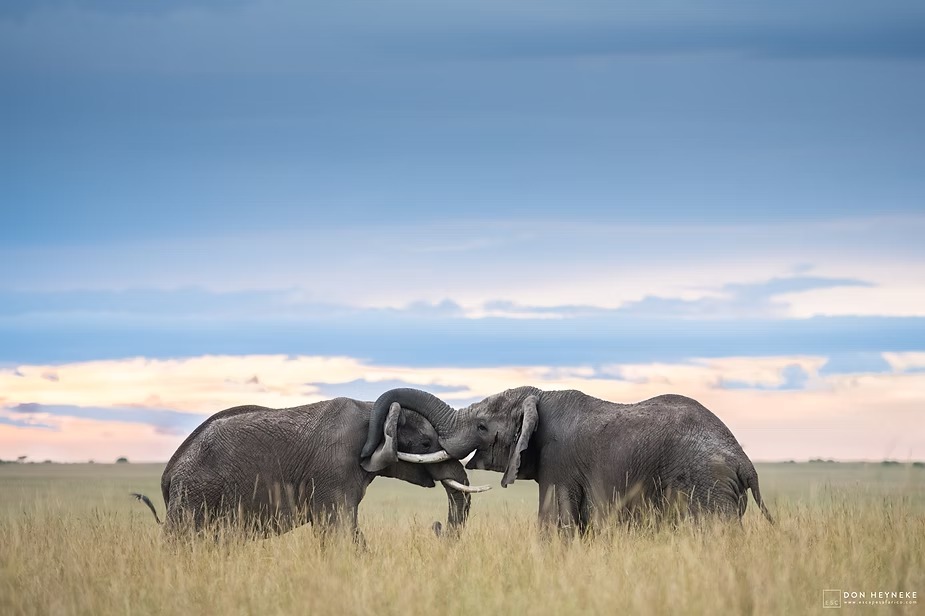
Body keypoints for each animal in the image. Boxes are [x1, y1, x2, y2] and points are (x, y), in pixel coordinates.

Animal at [132, 397, 490, 541]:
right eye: (427, 443)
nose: (436, 527)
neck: (371, 412)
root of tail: (168, 473)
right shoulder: (333, 469)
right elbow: (338, 529)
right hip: (194, 493)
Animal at [362, 387, 773, 534]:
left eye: (481, 426)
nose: (434, 526)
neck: (538, 398)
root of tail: (745, 464)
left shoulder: (559, 463)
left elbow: (554, 523)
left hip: (706, 484)